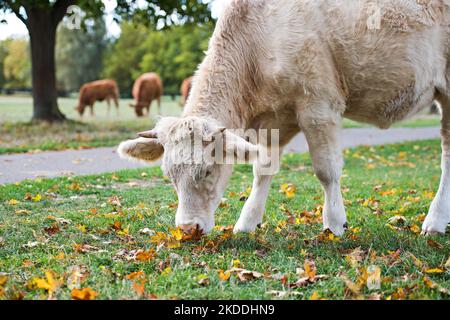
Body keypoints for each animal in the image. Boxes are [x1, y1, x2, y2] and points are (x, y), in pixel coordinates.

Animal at [118, 0, 448, 235]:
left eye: (209, 171)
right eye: (169, 175)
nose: (188, 229)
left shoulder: (319, 105)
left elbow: (327, 170)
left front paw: (334, 223)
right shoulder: (275, 119)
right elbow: (263, 169)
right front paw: (247, 223)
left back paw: (434, 222)